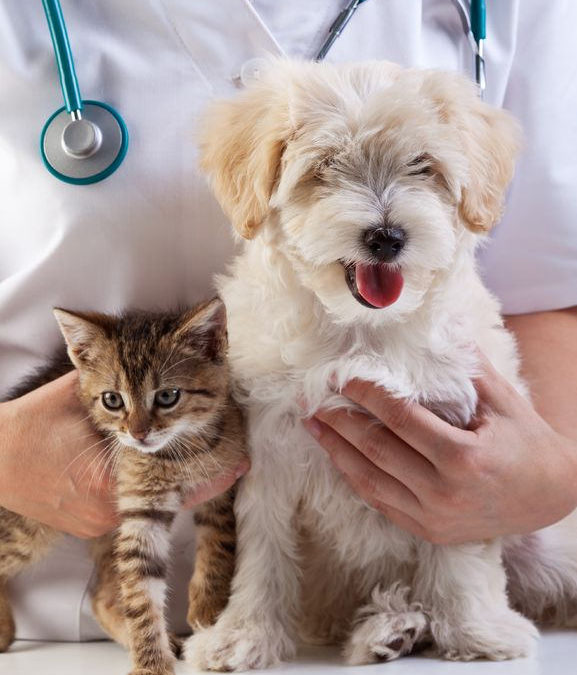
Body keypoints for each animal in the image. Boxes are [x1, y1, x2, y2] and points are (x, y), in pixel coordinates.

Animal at [0, 300, 245, 675]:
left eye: (168, 396)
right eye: (112, 400)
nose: (138, 433)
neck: (175, 454)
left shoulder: (222, 482)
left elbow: (219, 542)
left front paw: (208, 605)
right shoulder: (140, 508)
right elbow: (140, 592)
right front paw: (150, 663)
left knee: (101, 596)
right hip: (28, 525)